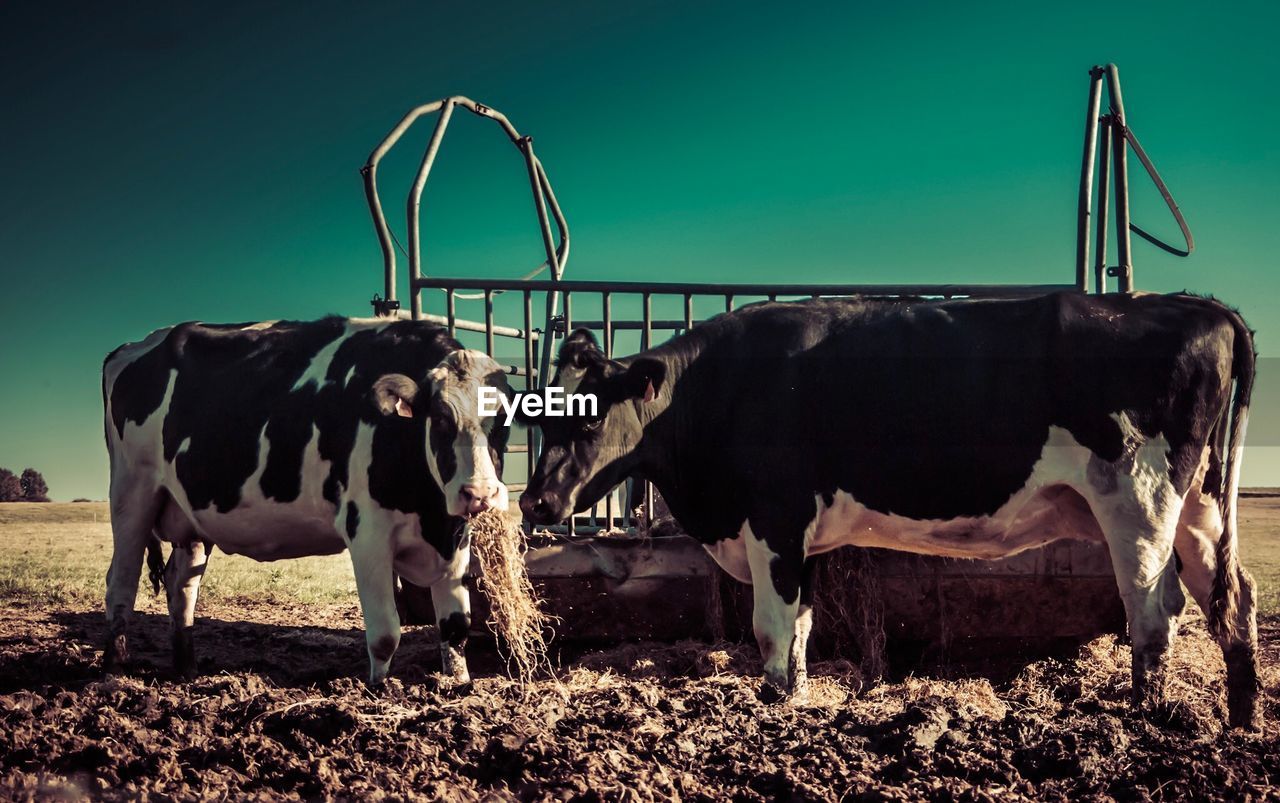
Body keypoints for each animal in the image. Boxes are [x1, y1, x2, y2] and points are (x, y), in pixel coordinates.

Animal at [102, 317, 509, 686]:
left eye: (503, 422)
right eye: (439, 419)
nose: (479, 493)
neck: (430, 514)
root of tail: (136, 346)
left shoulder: (455, 538)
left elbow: (455, 627)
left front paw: (459, 685)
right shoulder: (368, 533)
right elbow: (385, 633)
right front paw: (379, 690)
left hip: (190, 513)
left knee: (180, 586)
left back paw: (186, 671)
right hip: (131, 493)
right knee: (120, 581)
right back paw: (113, 671)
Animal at [517, 293, 1259, 727]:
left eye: (588, 422)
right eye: (543, 416)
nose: (535, 499)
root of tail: (1202, 308)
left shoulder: (774, 520)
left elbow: (771, 632)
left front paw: (774, 709)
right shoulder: (802, 539)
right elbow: (801, 631)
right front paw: (798, 703)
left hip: (1139, 497)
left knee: (1153, 608)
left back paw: (1144, 718)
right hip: (1199, 506)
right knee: (1232, 598)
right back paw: (1242, 718)